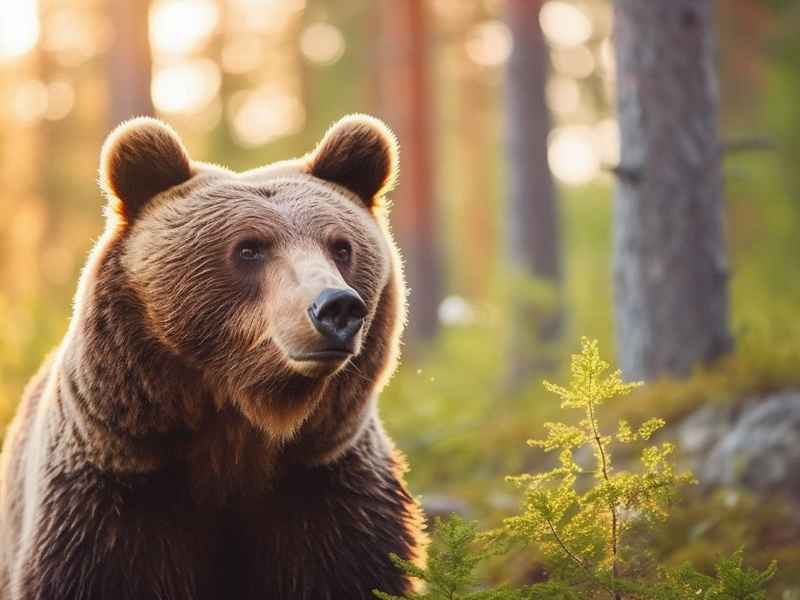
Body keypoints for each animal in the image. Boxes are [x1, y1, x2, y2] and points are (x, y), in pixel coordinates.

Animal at [0, 115, 427, 600]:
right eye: (249, 248)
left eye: (341, 246)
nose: (336, 307)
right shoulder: (111, 502)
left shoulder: (326, 488)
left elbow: (352, 570)